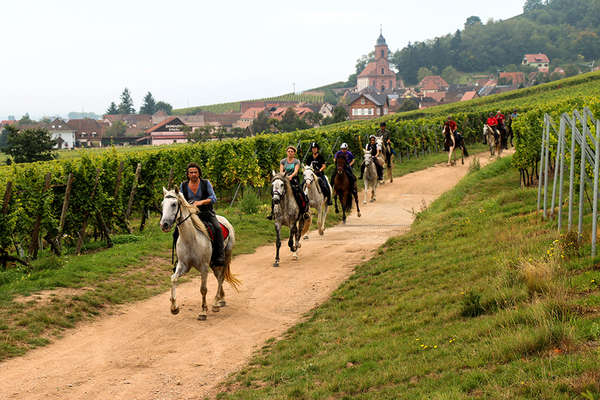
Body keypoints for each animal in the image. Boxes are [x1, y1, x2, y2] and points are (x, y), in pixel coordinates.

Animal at [163, 188, 243, 322]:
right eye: (162, 204)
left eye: (174, 204)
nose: (164, 224)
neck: (191, 239)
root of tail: (225, 220)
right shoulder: (183, 266)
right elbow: (173, 279)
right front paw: (174, 308)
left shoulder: (204, 267)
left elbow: (203, 289)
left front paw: (203, 311)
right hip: (213, 263)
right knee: (218, 276)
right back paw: (221, 299)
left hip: (226, 257)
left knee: (221, 277)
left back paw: (215, 303)